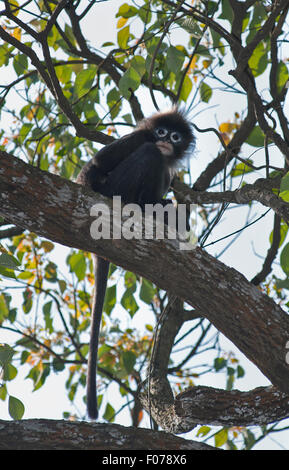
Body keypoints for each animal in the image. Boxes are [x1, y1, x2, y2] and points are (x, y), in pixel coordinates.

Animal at [76, 108, 194, 420]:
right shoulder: (137, 138)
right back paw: (140, 205)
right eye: (162, 132)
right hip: (114, 187)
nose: (164, 140)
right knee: (148, 156)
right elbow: (96, 163)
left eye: (175, 137)